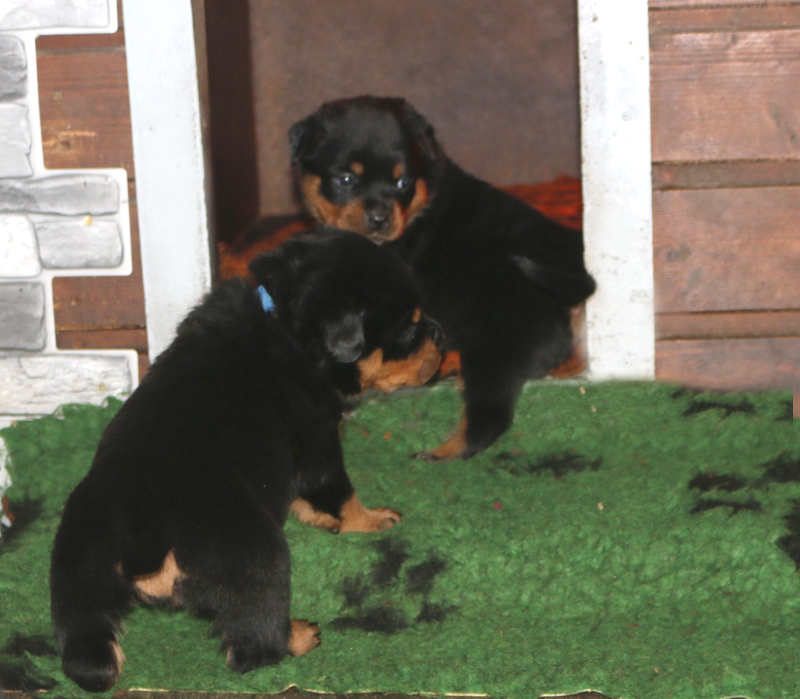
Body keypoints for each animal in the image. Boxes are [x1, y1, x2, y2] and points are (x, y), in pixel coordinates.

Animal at [50, 229, 443, 692]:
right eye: (410, 328)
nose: (440, 333)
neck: (285, 326)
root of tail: (142, 536)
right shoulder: (319, 440)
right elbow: (338, 493)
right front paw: (373, 520)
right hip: (258, 554)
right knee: (253, 644)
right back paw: (298, 636)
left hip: (77, 575)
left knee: (88, 658)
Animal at [289, 96, 596, 460]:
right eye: (346, 179)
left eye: (402, 183)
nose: (380, 218)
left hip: (495, 342)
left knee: (489, 417)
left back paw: (438, 455)